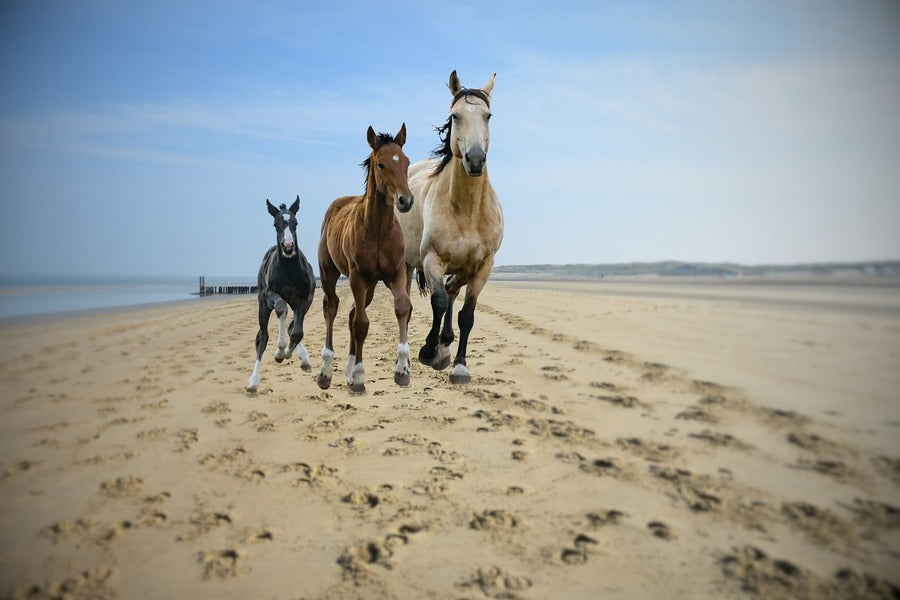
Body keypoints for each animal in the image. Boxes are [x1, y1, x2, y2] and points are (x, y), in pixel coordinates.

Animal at [246, 197, 316, 394]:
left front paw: (290, 354)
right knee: (262, 336)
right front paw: (280, 351)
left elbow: (297, 331)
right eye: (275, 224)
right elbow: (280, 308)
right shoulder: (271, 294)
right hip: (262, 303)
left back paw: (304, 359)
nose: (288, 247)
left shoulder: (303, 299)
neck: (289, 270)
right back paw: (253, 382)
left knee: (292, 326)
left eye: (295, 223)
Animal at [316, 123, 414, 394]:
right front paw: (359, 377)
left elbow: (403, 307)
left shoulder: (396, 273)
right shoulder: (357, 277)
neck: (378, 229)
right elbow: (361, 324)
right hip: (329, 272)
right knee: (332, 307)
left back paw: (348, 371)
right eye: (381, 164)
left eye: (406, 161)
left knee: (350, 314)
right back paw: (326, 372)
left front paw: (402, 371)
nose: (405, 200)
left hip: (370, 286)